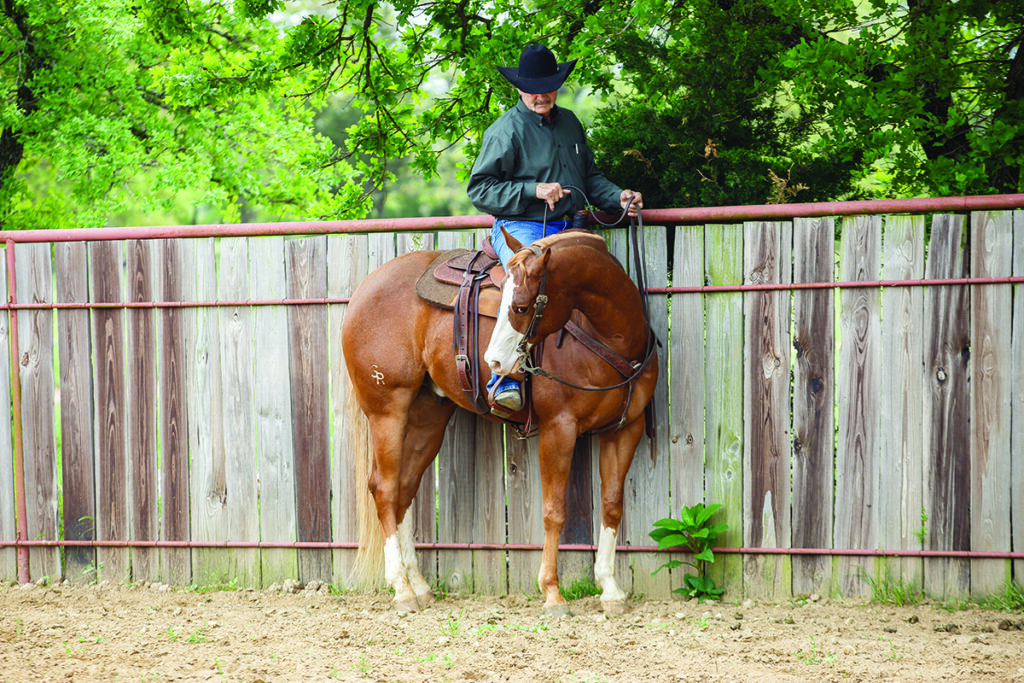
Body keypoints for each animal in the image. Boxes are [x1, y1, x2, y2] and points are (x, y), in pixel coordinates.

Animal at [339, 232, 659, 618]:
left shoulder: (626, 429)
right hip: (388, 410)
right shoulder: (559, 429)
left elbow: (612, 505)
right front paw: (552, 593)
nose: (493, 361)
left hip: (427, 415)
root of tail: (363, 290)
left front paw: (610, 590)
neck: (607, 337)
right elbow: (554, 511)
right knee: (384, 489)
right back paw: (401, 589)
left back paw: (419, 585)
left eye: (520, 307)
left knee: (404, 488)